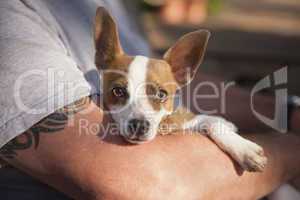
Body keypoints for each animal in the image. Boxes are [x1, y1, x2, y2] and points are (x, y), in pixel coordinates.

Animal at [94, 6, 268, 172]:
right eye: (118, 91)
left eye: (161, 94)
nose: (139, 125)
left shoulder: (188, 119)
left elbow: (209, 121)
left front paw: (244, 149)